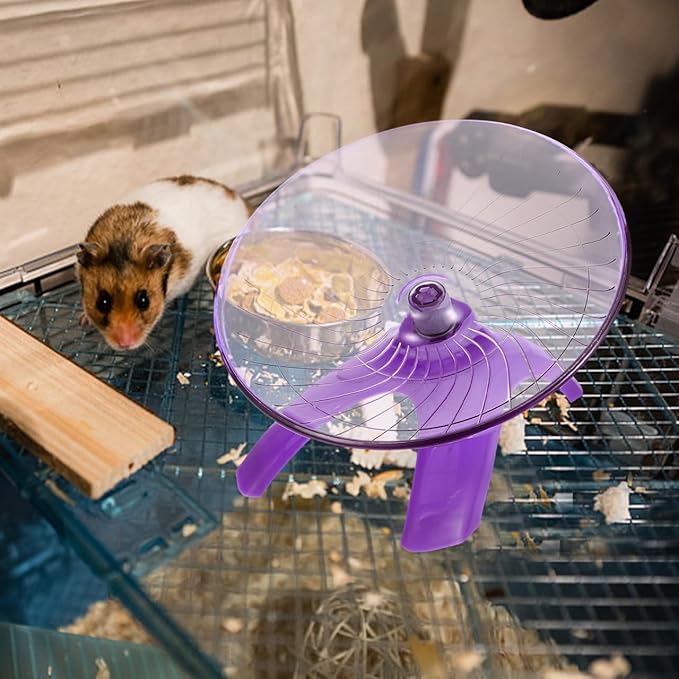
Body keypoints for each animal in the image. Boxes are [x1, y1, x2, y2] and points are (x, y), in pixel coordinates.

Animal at [77, 175, 250, 351]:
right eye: (102, 303)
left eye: (144, 301)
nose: (125, 344)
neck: (124, 241)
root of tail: (242, 202)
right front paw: (83, 319)